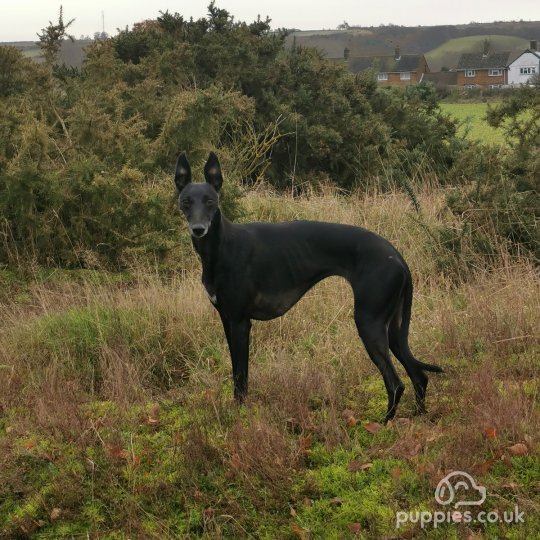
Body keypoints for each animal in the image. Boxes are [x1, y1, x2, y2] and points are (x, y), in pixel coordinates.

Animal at [175, 152, 440, 422]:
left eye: (210, 201)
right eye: (186, 202)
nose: (198, 230)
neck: (221, 248)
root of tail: (397, 258)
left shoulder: (240, 323)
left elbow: (241, 376)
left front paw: (240, 415)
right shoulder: (227, 320)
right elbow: (236, 371)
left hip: (369, 322)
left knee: (396, 383)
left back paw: (384, 423)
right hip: (394, 330)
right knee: (419, 376)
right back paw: (418, 416)